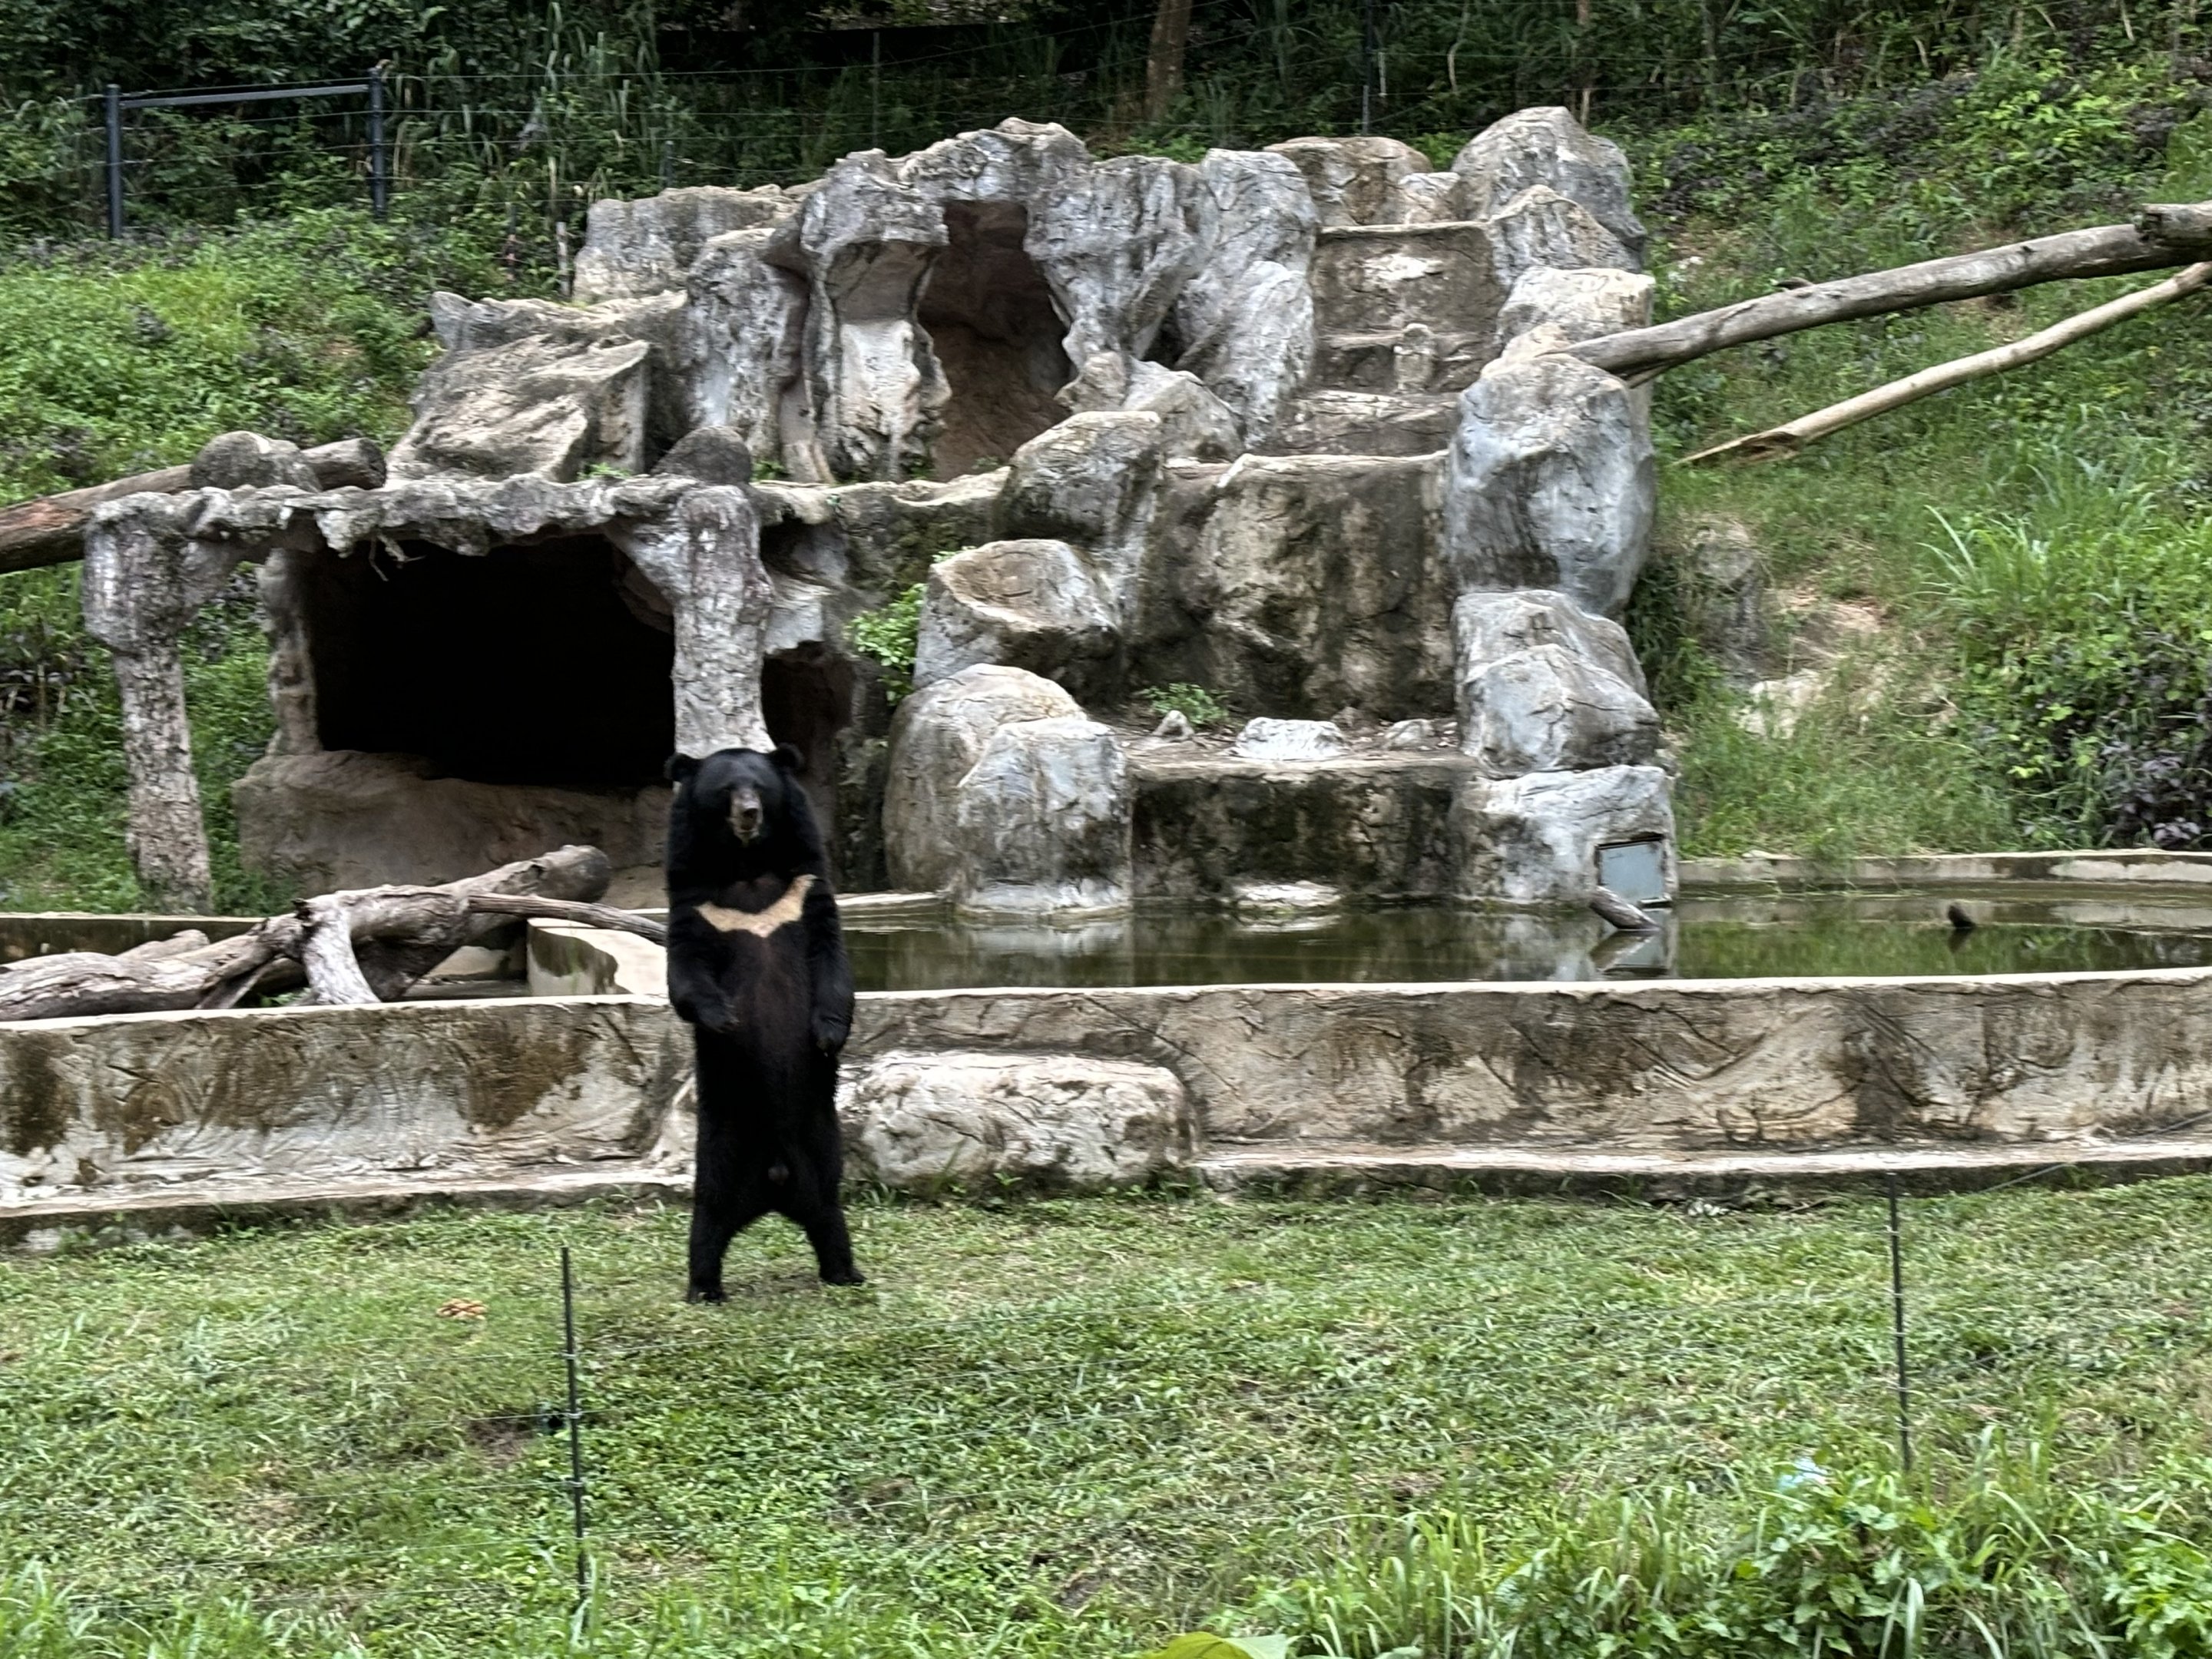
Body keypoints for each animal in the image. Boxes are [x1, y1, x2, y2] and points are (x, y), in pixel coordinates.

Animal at [665, 744, 862, 1298]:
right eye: (726, 791)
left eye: (760, 787)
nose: (749, 814)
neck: (748, 867)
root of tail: (774, 1185)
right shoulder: (696, 903)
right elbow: (685, 974)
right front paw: (726, 1020)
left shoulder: (805, 889)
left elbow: (831, 959)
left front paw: (827, 1035)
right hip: (722, 1144)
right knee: (708, 1217)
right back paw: (704, 1287)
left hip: (820, 1144)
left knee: (830, 1212)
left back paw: (846, 1272)